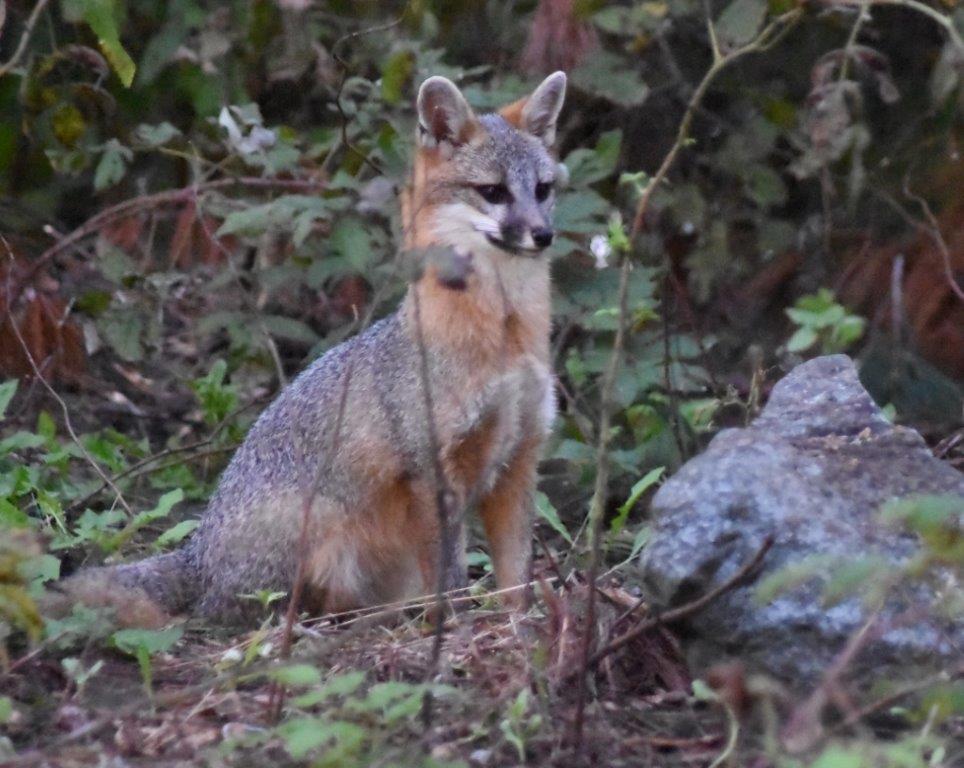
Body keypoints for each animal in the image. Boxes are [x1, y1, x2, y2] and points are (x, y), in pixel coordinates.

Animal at [47, 71, 568, 628]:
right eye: (493, 192)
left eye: (543, 189)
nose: (543, 234)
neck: (505, 337)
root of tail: (199, 553)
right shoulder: (433, 467)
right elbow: (449, 576)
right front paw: (452, 625)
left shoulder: (521, 460)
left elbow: (516, 575)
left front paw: (519, 621)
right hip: (323, 542)